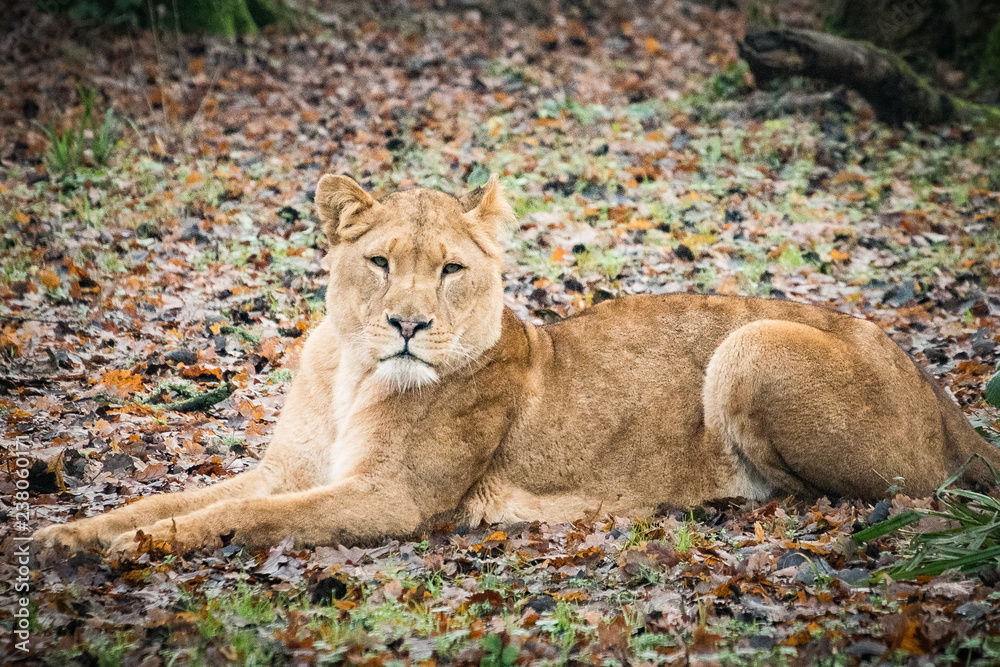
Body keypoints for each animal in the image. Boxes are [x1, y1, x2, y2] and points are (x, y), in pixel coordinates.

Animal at [35, 174, 1000, 556]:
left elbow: (235, 518)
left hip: (751, 344)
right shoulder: (288, 469)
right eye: (381, 261)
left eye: (450, 269)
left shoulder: (390, 499)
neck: (349, 368)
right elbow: (180, 498)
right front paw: (69, 536)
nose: (408, 323)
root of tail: (941, 390)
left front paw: (127, 547)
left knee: (869, 494)